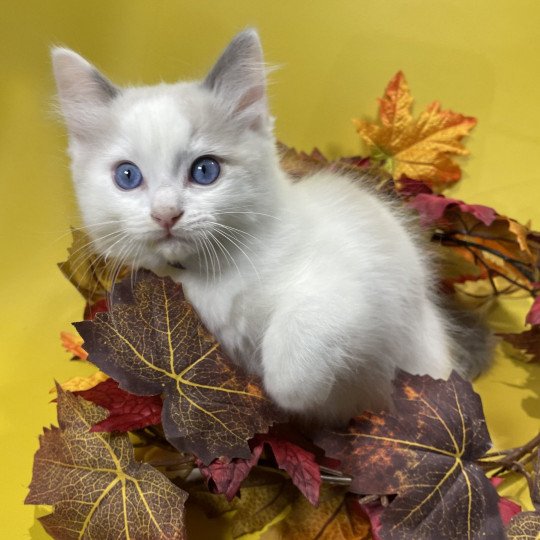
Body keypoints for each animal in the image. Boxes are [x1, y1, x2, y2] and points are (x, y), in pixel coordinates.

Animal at [50, 29, 490, 426]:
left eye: (205, 171)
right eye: (127, 176)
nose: (166, 214)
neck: (207, 275)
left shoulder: (350, 288)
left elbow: (302, 335)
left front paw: (284, 395)